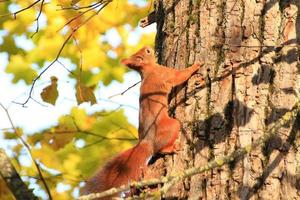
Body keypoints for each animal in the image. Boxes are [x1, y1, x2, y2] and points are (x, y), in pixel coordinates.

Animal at [80, 46, 202, 198]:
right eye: (147, 52)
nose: (149, 48)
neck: (147, 70)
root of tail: (147, 141)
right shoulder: (164, 73)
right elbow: (180, 76)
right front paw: (195, 66)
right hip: (173, 125)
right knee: (160, 149)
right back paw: (172, 148)